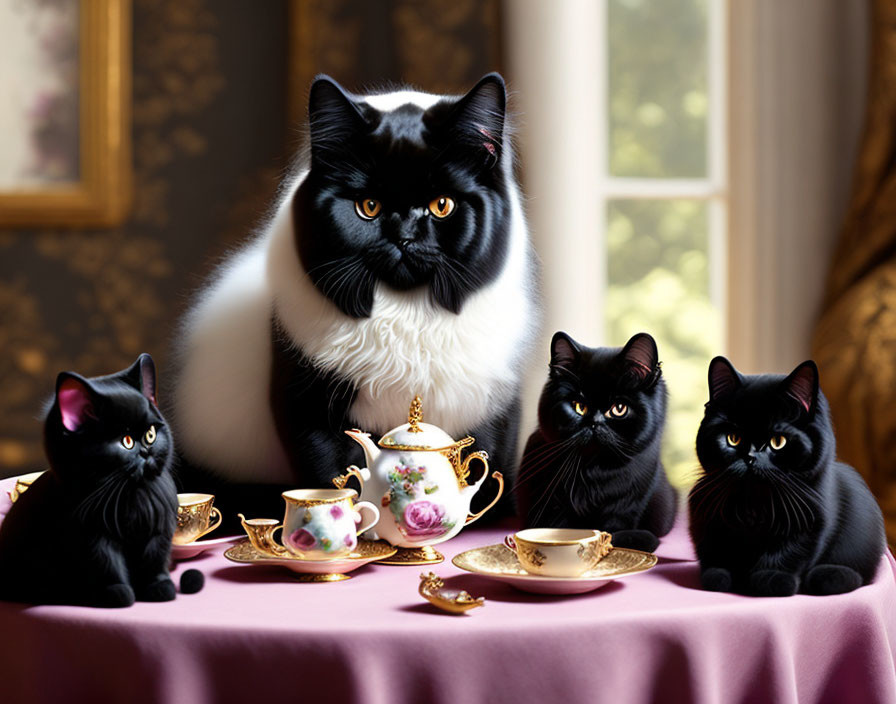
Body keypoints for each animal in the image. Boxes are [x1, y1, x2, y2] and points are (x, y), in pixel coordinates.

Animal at [0, 354, 201, 608]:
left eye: (150, 435)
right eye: (126, 441)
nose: (146, 452)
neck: (132, 497)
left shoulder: (158, 532)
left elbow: (154, 561)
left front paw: (160, 589)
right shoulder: (94, 538)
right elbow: (108, 566)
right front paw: (119, 595)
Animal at [176, 73, 540, 524]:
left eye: (442, 205)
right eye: (369, 206)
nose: (404, 237)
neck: (406, 316)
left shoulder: (492, 406)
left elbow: (482, 468)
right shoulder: (306, 404)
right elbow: (333, 477)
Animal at [688, 358, 884, 592]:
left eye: (778, 441)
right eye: (733, 438)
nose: (751, 457)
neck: (754, 504)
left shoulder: (809, 520)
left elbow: (785, 554)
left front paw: (771, 579)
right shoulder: (705, 511)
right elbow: (718, 552)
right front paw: (718, 577)